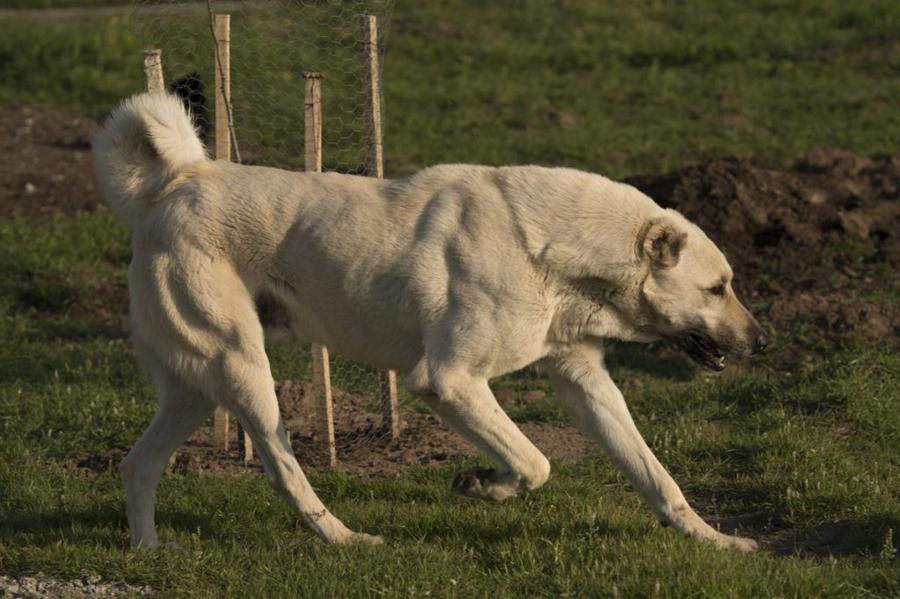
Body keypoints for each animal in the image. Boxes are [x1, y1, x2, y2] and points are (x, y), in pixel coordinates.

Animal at [89, 92, 768, 552]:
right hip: (242, 370)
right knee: (282, 468)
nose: (764, 340)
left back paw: (148, 551)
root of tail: (176, 185)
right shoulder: (449, 381)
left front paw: (713, 540)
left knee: (138, 466)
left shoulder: (585, 381)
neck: (552, 250)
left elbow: (655, 474)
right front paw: (484, 484)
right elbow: (534, 463)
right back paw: (345, 539)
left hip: (197, 387)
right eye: (718, 288)